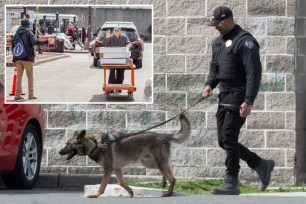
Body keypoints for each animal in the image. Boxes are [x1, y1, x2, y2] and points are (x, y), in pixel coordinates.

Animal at [58, 113, 190, 198]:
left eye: (69, 144)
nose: (59, 151)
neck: (95, 143)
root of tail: (165, 135)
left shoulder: (108, 169)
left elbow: (102, 186)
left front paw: (95, 195)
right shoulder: (117, 168)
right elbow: (121, 182)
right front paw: (130, 192)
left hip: (157, 162)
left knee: (173, 178)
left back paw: (168, 193)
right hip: (151, 163)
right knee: (168, 171)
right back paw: (163, 183)